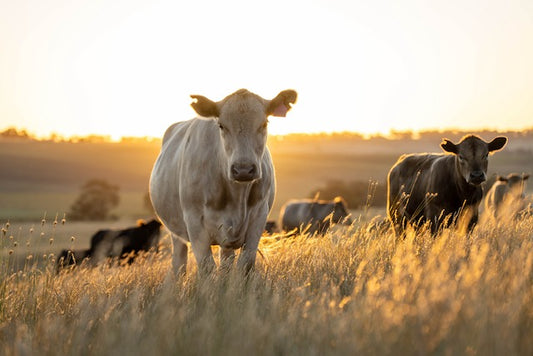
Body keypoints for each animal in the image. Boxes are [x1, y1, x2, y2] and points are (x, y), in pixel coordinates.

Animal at [150, 88, 298, 272]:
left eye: (264, 124)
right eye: (221, 125)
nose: (243, 169)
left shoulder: (259, 217)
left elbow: (245, 264)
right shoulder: (194, 223)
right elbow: (207, 268)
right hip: (176, 233)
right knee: (179, 263)